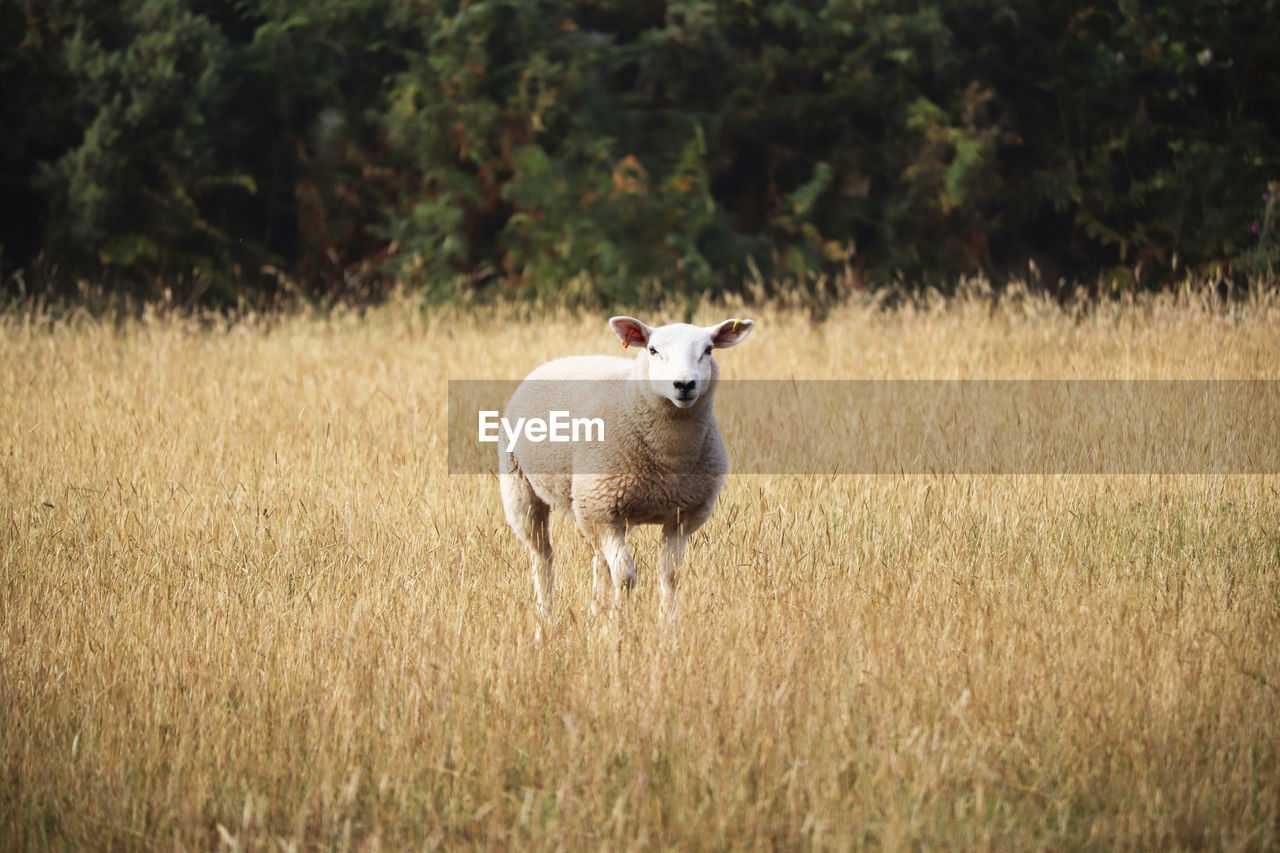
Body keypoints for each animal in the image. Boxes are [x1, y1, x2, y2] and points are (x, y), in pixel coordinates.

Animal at [496, 312, 757, 625]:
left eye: (708, 350)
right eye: (653, 350)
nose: (684, 384)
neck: (669, 460)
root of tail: (556, 361)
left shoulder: (682, 517)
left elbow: (669, 574)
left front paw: (666, 628)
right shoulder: (604, 509)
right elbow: (626, 576)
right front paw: (618, 625)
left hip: (597, 509)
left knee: (599, 561)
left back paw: (595, 614)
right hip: (524, 490)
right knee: (542, 558)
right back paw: (546, 620)